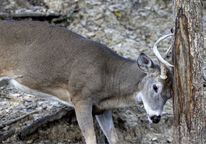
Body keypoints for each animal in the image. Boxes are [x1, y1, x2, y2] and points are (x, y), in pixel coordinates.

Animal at [0, 20, 173, 144]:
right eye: (155, 86)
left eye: (170, 95)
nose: (156, 118)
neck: (108, 78)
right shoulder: (81, 97)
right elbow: (91, 139)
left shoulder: (102, 108)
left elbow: (114, 138)